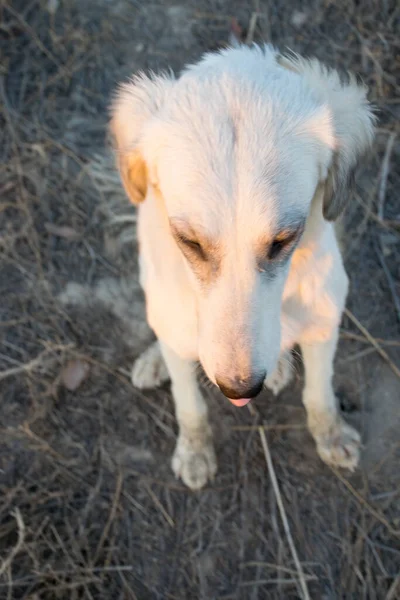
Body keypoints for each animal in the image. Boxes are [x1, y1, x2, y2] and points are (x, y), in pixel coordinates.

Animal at [110, 44, 376, 490]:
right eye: (190, 242)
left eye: (283, 240)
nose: (240, 389)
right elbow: (189, 403)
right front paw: (194, 451)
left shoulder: (325, 318)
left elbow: (319, 392)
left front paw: (331, 434)